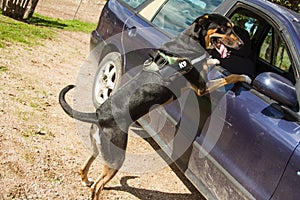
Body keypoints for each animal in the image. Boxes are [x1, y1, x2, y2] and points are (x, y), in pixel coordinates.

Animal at [58, 13, 251, 198]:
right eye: (224, 29)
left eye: (233, 28)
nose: (242, 44)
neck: (192, 40)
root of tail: (99, 115)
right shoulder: (202, 88)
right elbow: (230, 77)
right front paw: (245, 77)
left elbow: (209, 63)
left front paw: (214, 61)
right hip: (116, 157)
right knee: (98, 187)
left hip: (98, 148)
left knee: (84, 167)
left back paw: (85, 180)